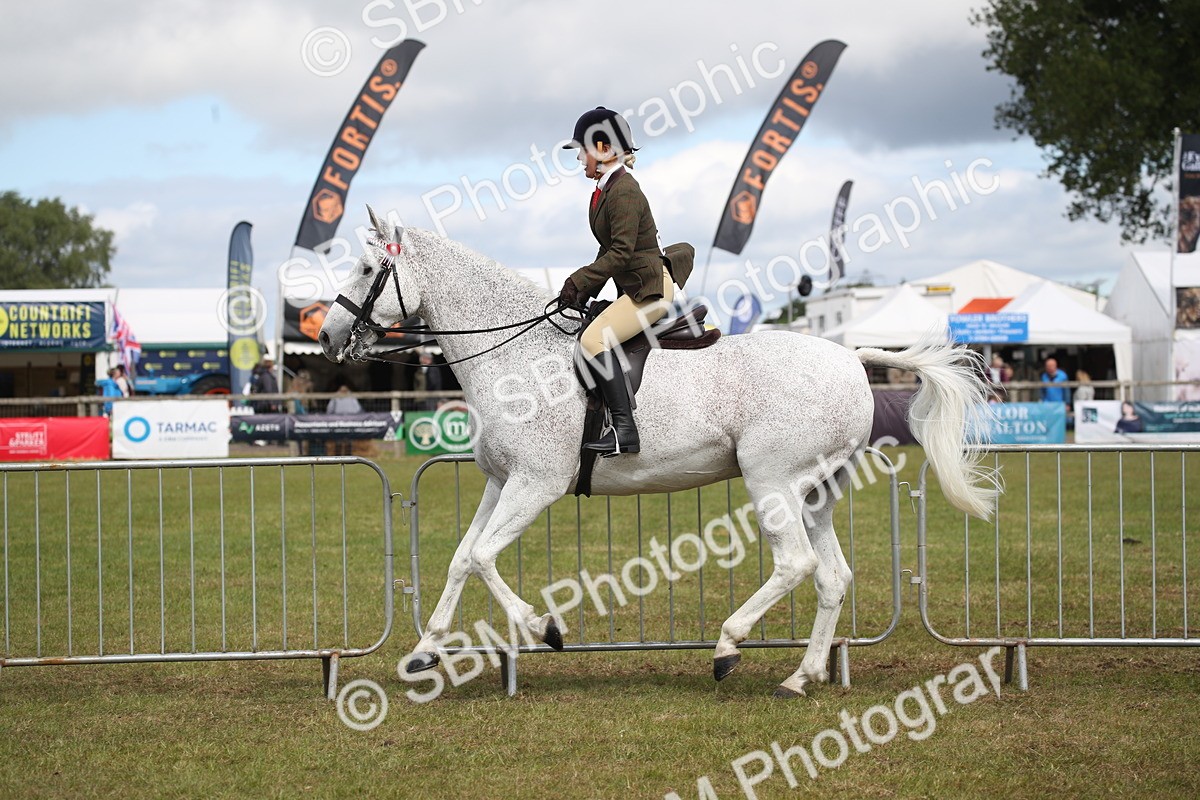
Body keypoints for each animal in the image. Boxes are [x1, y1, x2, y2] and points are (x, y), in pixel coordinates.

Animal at [318, 207, 996, 698]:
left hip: (772, 481)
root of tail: (852, 358)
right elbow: (462, 559)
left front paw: (546, 628)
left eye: (364, 269)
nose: (325, 337)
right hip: (814, 493)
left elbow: (484, 557)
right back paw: (801, 676)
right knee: (832, 576)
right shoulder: (499, 481)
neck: (516, 355)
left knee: (796, 564)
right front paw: (425, 650)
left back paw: (728, 647)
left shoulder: (536, 483)